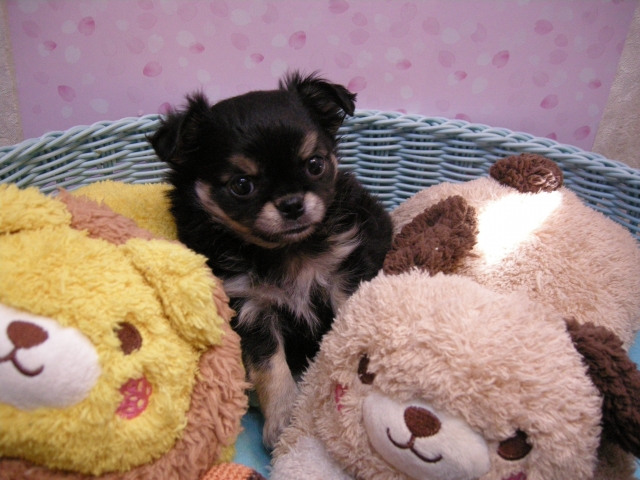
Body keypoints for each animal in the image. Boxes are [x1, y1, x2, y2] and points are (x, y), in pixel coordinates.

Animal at [149, 71, 393, 448]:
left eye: (315, 165)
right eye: (241, 185)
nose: (292, 204)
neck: (282, 250)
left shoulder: (344, 274)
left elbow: (343, 333)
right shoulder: (250, 306)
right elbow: (268, 365)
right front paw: (284, 417)